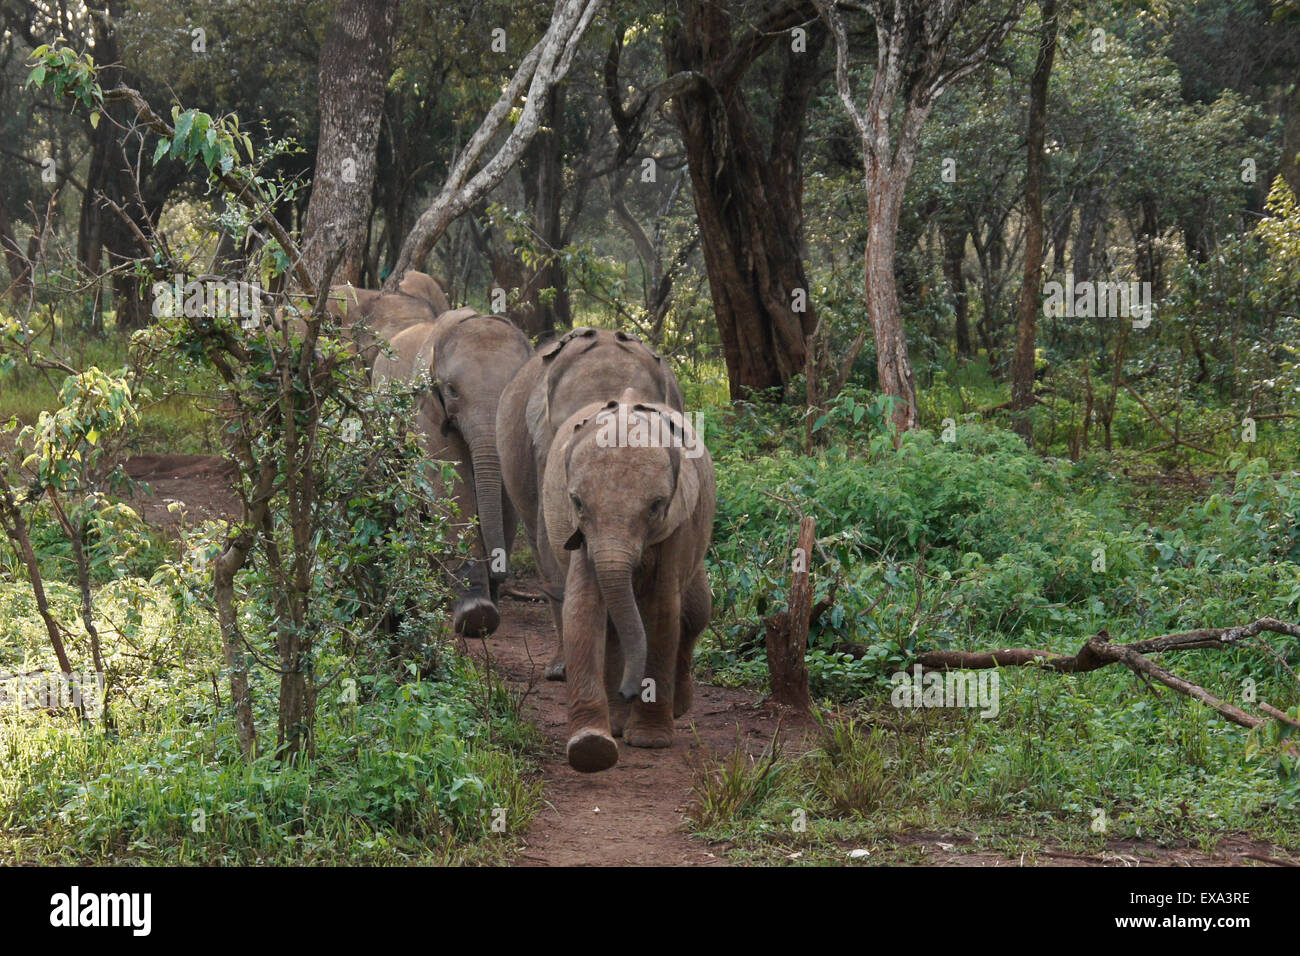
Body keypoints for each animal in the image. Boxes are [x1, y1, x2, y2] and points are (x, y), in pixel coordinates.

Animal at [371, 306, 533, 634]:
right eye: (452, 391)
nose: (501, 572)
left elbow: (505, 492)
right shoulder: (426, 405)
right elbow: (449, 483)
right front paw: (476, 615)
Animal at [540, 398, 722, 780]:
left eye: (655, 506)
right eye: (577, 503)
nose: (629, 691)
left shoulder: (678, 526)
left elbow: (663, 611)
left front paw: (649, 741)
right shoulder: (581, 536)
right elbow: (582, 606)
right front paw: (591, 748)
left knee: (695, 613)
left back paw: (674, 710)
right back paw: (617, 724)